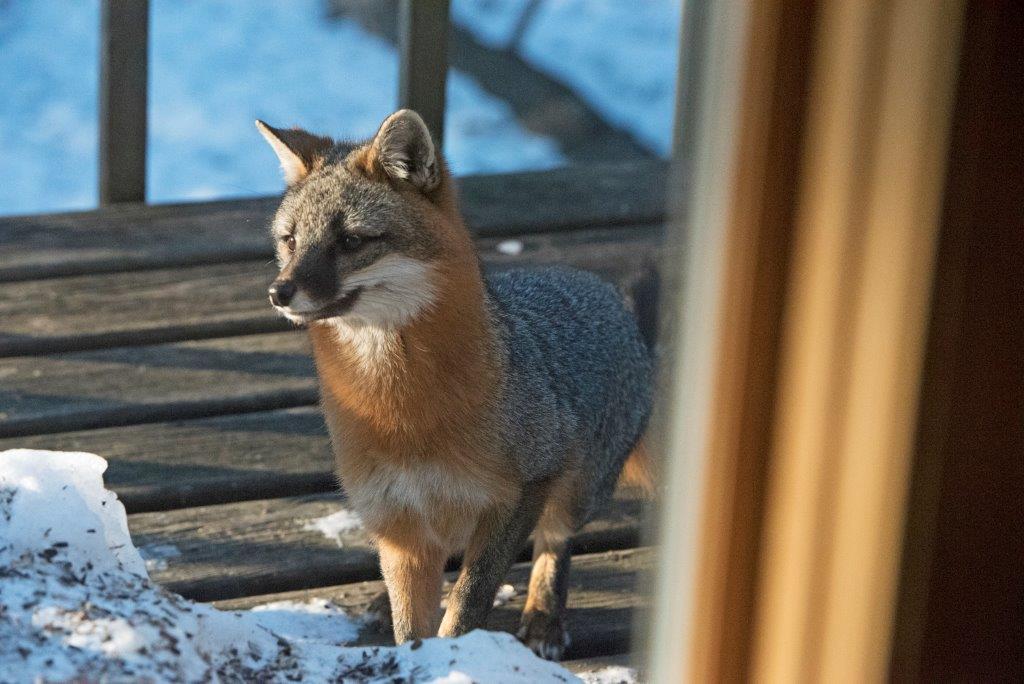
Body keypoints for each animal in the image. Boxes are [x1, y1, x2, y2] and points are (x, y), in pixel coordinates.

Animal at [256, 109, 653, 660]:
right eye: (290, 241)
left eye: (352, 241)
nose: (280, 291)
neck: (401, 413)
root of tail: (603, 291)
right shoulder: (396, 517)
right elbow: (411, 621)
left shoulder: (523, 488)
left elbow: (469, 599)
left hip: (577, 493)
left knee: (555, 543)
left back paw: (544, 616)